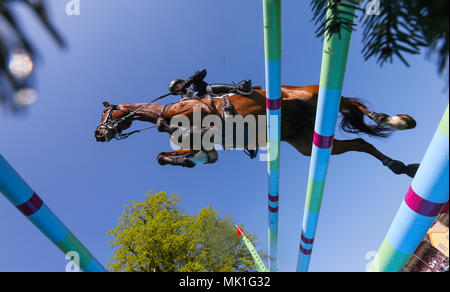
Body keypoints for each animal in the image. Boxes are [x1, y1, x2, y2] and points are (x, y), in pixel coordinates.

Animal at [94, 84, 418, 178]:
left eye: (104, 113)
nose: (97, 134)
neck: (165, 114)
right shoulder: (202, 144)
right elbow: (167, 156)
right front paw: (187, 161)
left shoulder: (202, 124)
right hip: (306, 141)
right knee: (361, 142)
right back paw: (399, 166)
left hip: (312, 96)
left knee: (354, 105)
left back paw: (397, 120)